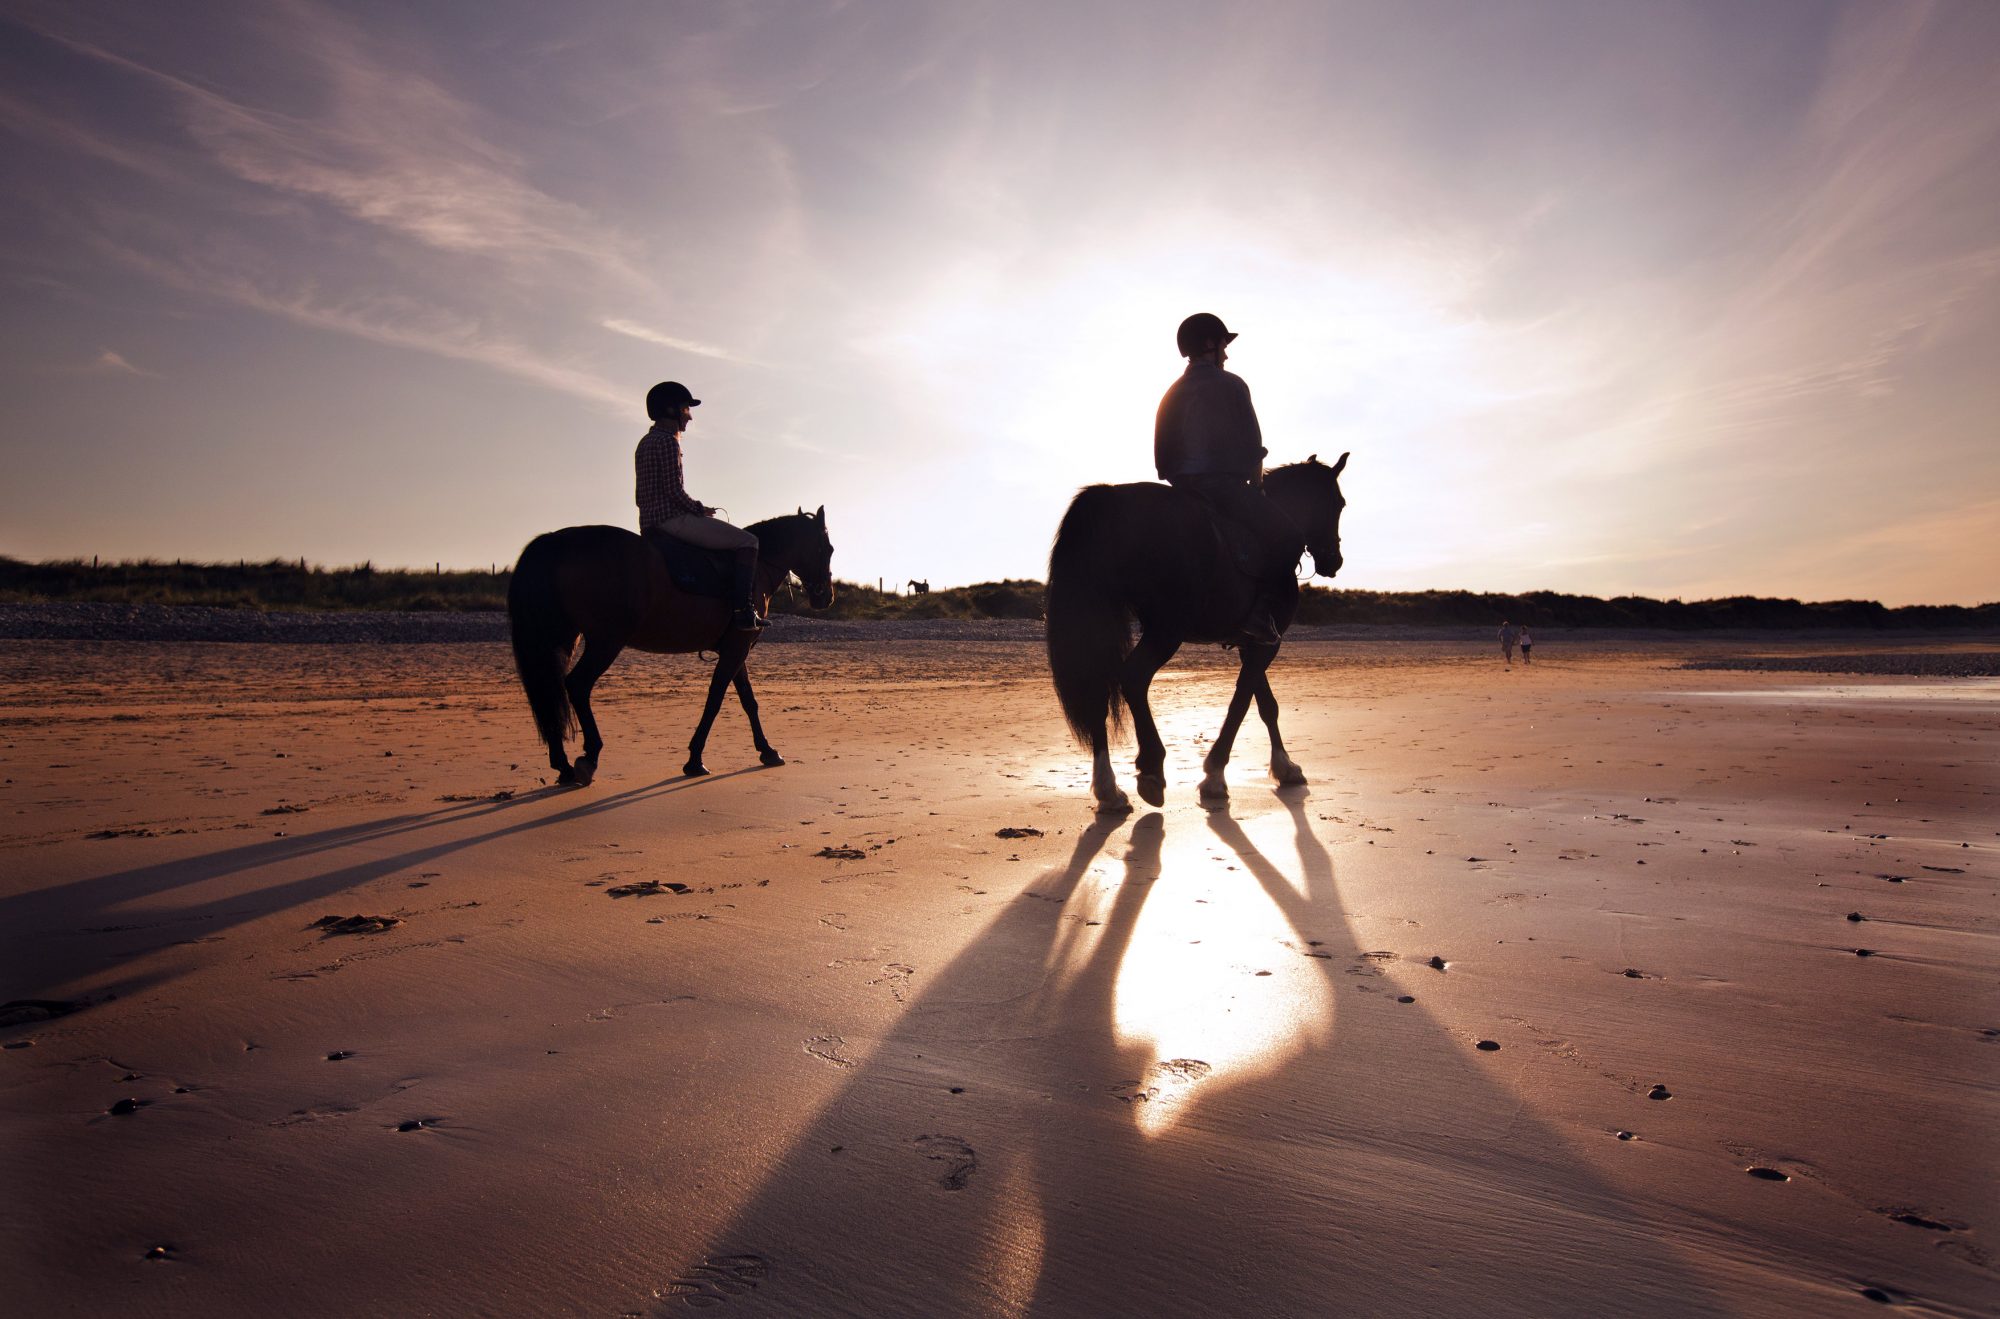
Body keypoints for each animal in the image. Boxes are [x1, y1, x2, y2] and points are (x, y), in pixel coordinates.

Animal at [512, 507, 840, 783]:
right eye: (828, 549)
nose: (826, 596)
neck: (755, 568)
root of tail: (557, 541)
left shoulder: (737, 650)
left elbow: (749, 701)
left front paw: (767, 751)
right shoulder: (737, 649)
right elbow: (715, 701)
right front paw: (695, 759)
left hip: (565, 639)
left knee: (551, 687)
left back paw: (564, 766)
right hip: (606, 642)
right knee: (577, 685)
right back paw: (589, 756)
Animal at [1048, 455, 1344, 815]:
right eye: (1338, 504)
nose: (1334, 560)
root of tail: (1111, 498)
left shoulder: (1252, 643)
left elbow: (1265, 704)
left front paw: (1285, 768)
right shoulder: (1265, 645)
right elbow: (1241, 703)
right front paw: (1215, 775)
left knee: (1098, 690)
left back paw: (1109, 790)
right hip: (1166, 629)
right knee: (1133, 677)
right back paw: (1151, 768)